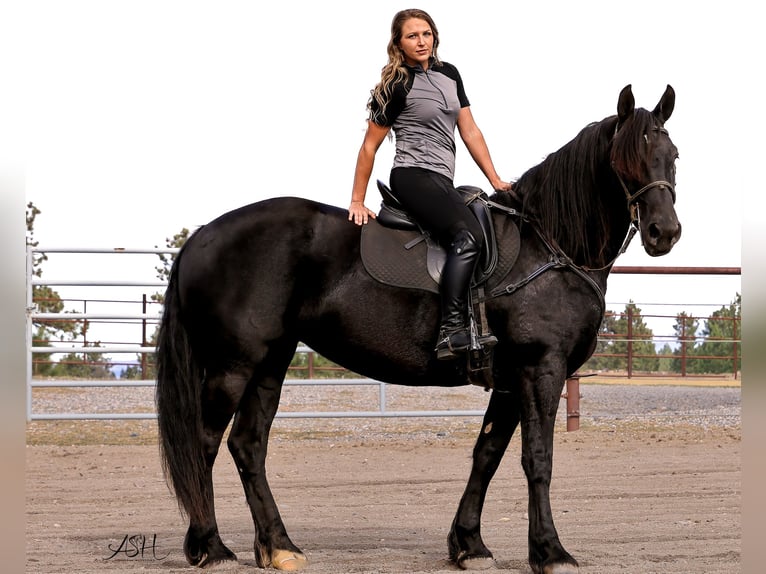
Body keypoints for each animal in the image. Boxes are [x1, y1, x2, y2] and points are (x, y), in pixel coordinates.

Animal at [155, 84, 681, 573]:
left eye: (671, 156)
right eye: (625, 159)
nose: (665, 232)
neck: (548, 245)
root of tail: (202, 236)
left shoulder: (510, 381)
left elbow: (487, 453)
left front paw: (469, 544)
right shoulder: (540, 370)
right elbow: (537, 458)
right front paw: (550, 552)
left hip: (270, 362)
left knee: (248, 446)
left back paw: (279, 546)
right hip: (233, 366)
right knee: (204, 443)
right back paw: (211, 547)